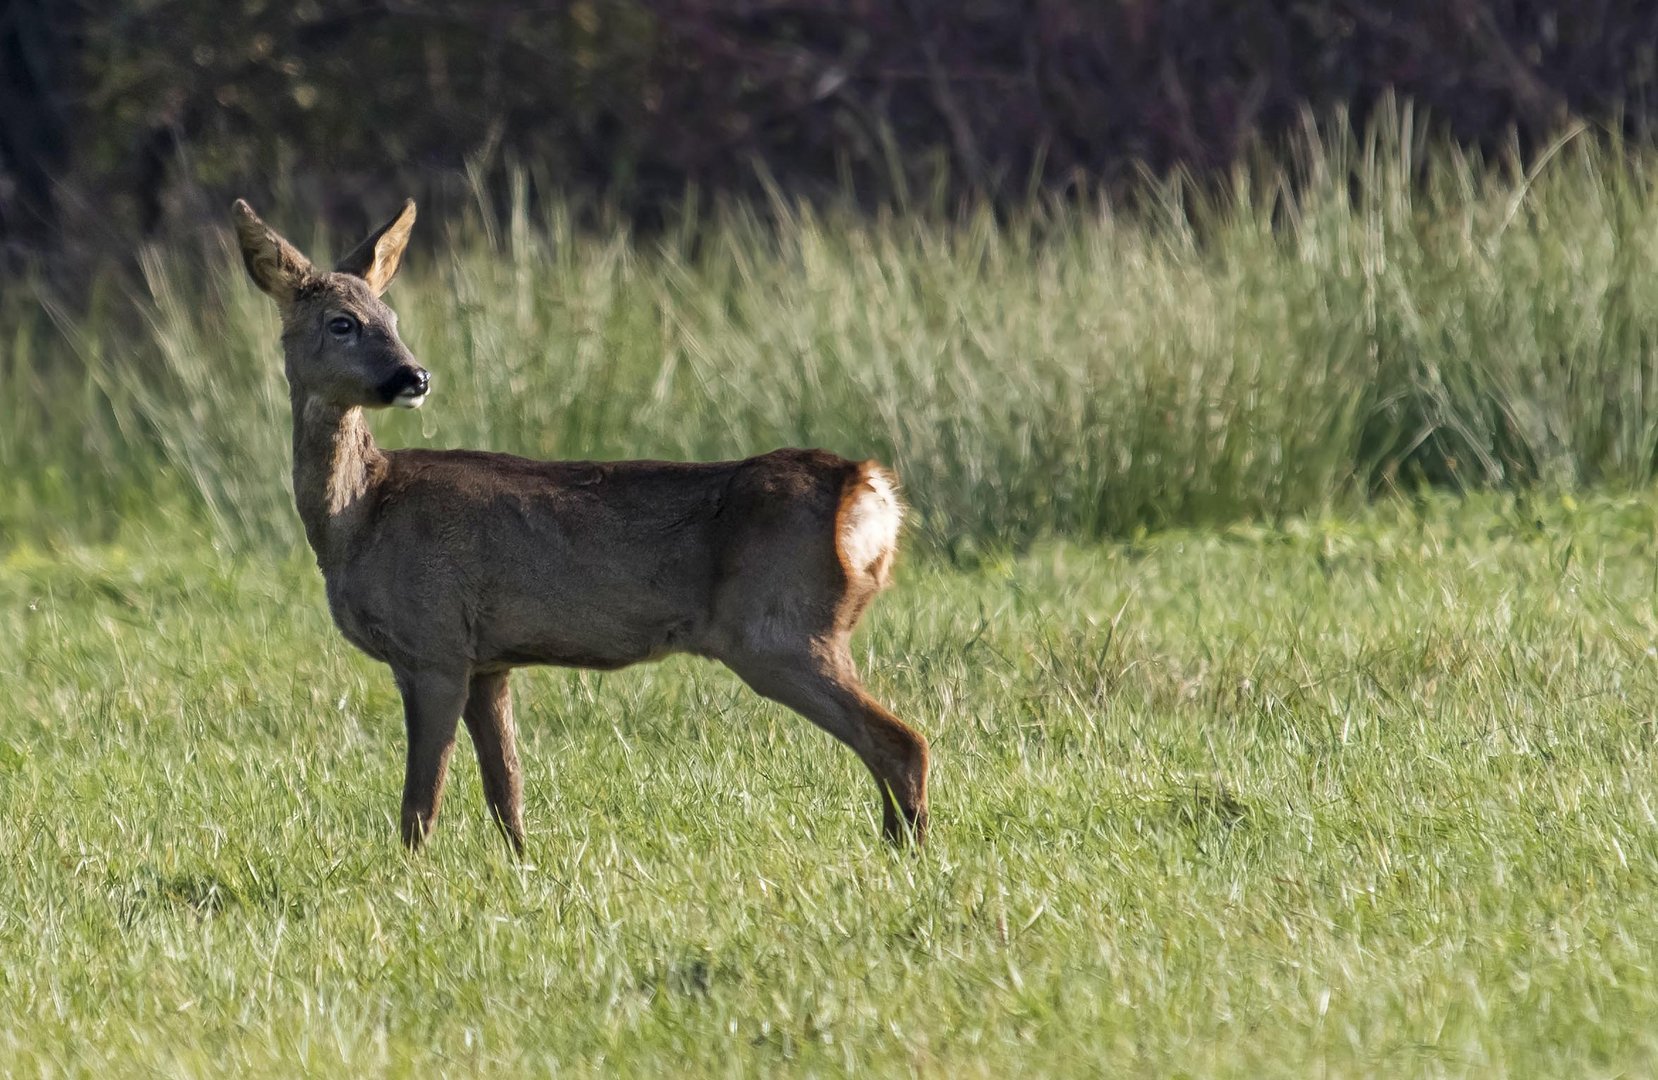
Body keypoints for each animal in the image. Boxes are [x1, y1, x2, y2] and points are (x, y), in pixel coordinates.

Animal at [230, 196, 935, 856]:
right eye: (343, 323)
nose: (415, 376)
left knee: (902, 741)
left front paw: (410, 880)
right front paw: (522, 868)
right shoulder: (487, 660)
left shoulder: (433, 644)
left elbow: (420, 801)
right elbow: (506, 788)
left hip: (777, 628)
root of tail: (868, 487)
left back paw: (909, 855)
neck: (359, 516)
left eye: (392, 319)